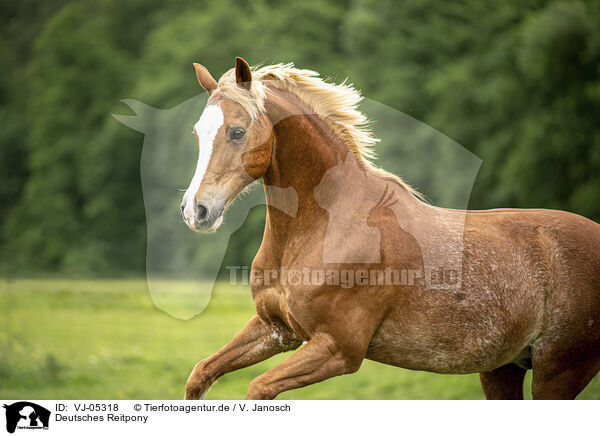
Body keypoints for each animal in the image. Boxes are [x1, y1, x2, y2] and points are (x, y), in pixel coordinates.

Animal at [180, 55, 600, 398]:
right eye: (197, 132)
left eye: (237, 131)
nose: (195, 210)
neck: (324, 225)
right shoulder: (276, 330)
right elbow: (199, 374)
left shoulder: (338, 348)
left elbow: (258, 388)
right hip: (501, 368)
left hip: (557, 370)